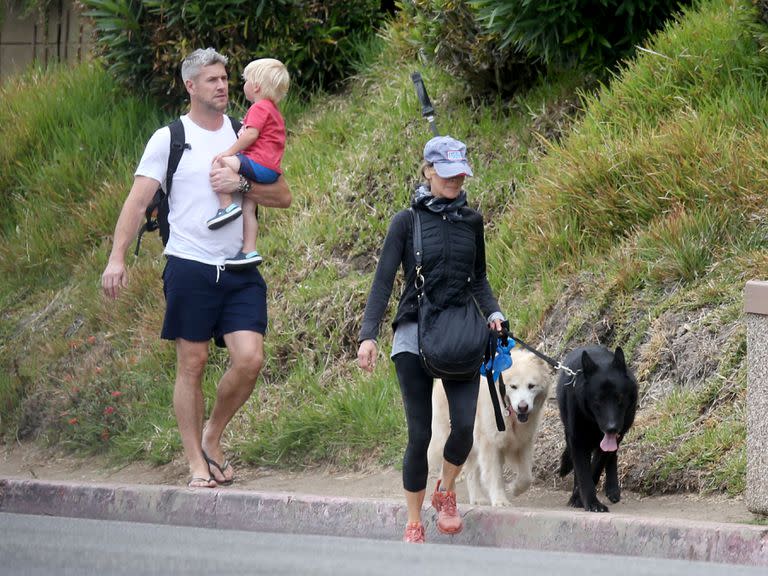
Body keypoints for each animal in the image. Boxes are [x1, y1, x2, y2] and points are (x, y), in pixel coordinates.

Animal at [432, 346, 552, 504]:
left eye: (531, 386)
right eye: (513, 386)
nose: (523, 407)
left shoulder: (522, 441)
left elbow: (526, 476)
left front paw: (514, 488)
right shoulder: (491, 442)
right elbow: (494, 475)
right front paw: (500, 500)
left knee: (471, 471)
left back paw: (477, 499)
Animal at [560, 346, 636, 512]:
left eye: (619, 398)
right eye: (598, 400)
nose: (611, 428)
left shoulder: (616, 436)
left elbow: (596, 467)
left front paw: (580, 498)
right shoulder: (577, 441)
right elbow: (583, 473)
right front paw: (589, 502)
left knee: (612, 455)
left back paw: (612, 488)